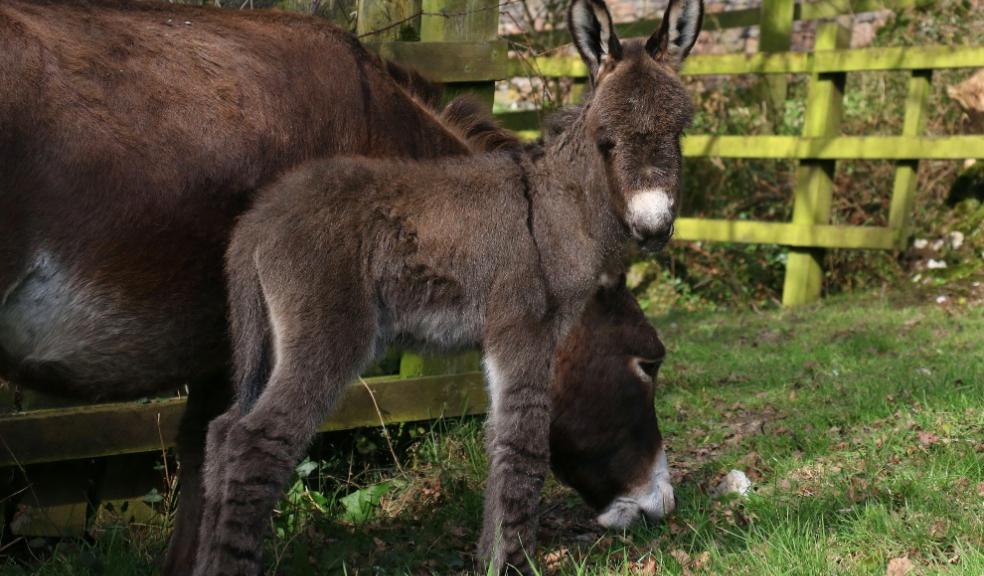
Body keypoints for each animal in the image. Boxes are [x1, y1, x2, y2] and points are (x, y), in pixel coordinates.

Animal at [200, 0, 704, 572]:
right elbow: (523, 446)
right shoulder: (526, 331)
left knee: (222, 432)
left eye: (680, 132)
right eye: (607, 139)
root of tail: (259, 218)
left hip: (265, 339)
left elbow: (499, 442)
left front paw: (492, 557)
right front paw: (513, 564)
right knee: (255, 443)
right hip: (327, 336)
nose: (653, 226)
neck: (556, 206)